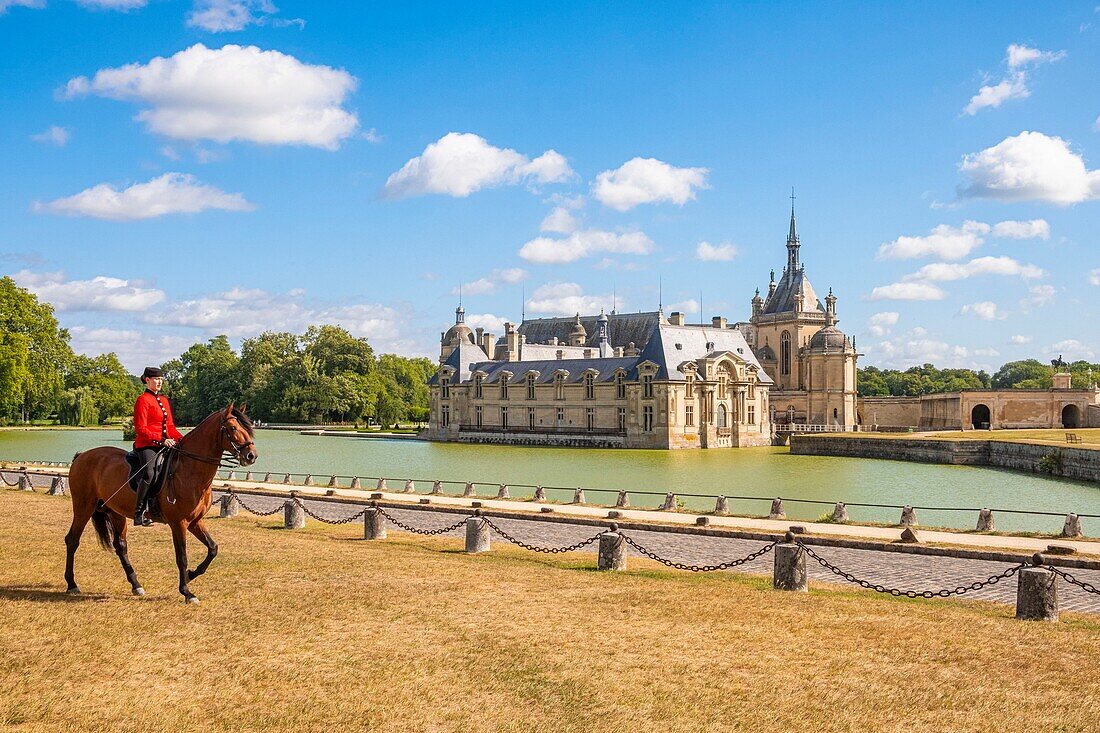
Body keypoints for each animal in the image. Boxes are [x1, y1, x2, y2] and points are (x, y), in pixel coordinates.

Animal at [66, 402, 257, 603]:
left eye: (248, 428)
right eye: (233, 428)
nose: (251, 455)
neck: (189, 470)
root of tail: (82, 456)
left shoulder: (195, 521)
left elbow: (213, 548)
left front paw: (191, 574)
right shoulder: (179, 523)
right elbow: (182, 556)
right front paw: (187, 591)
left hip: (115, 512)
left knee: (121, 546)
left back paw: (136, 585)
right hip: (83, 507)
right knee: (72, 540)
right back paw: (72, 584)